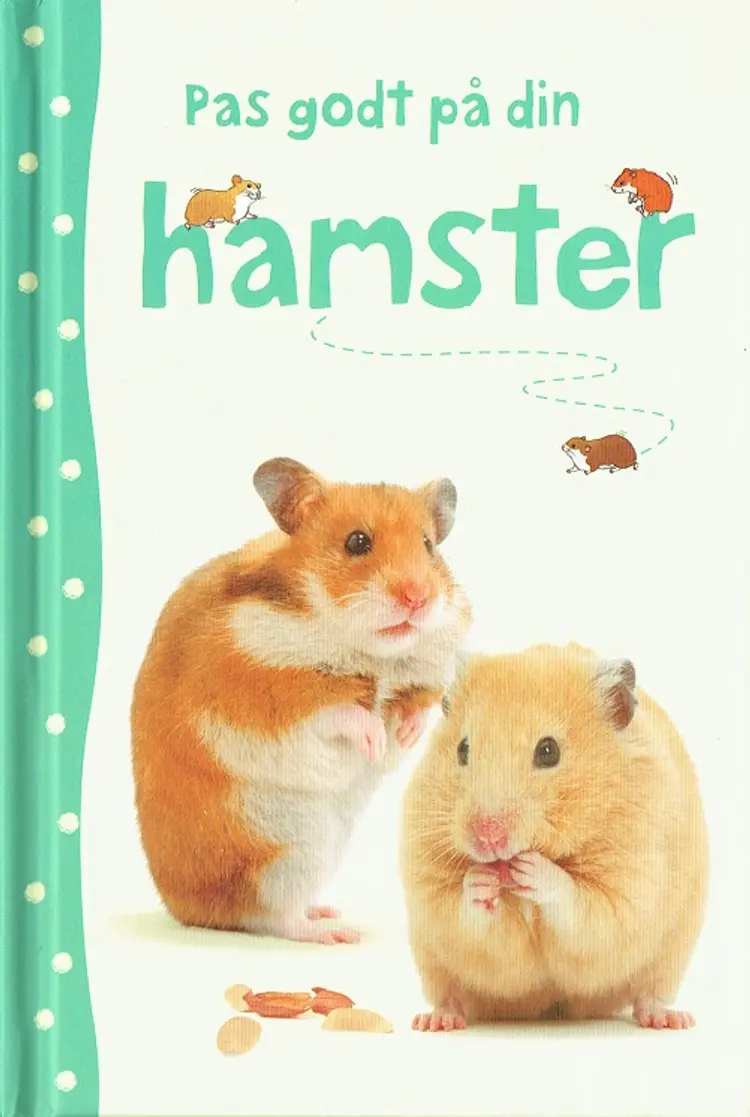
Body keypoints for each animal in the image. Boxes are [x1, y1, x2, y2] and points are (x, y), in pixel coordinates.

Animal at [131, 457, 472, 944]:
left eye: (428, 545)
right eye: (357, 542)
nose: (419, 598)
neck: (368, 650)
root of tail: (187, 912)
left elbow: (415, 707)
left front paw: (404, 734)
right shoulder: (266, 694)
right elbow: (340, 713)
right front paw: (374, 741)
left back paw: (327, 912)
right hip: (287, 850)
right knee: (271, 916)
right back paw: (337, 934)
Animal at [401, 644, 708, 1030]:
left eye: (548, 751)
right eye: (462, 749)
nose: (487, 837)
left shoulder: (631, 881)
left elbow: (579, 900)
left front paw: (533, 870)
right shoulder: (430, 893)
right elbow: (457, 910)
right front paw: (480, 879)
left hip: (671, 954)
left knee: (648, 992)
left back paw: (668, 1019)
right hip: (431, 962)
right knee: (452, 995)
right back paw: (436, 1021)